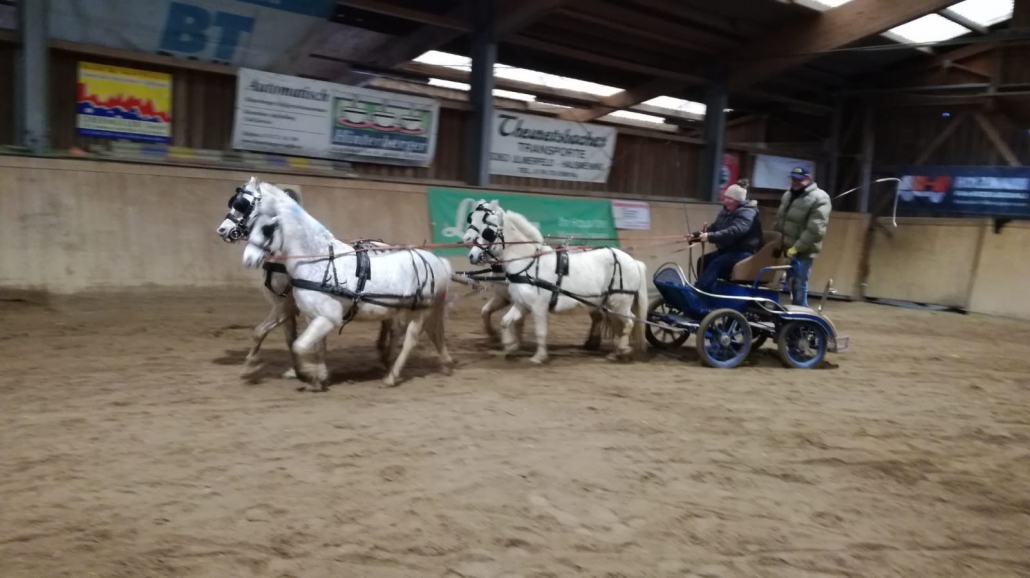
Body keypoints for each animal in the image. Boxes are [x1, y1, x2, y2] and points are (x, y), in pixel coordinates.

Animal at [215, 180, 395, 379]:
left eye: (243, 204)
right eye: (233, 202)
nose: (222, 230)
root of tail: (383, 244)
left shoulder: (288, 305)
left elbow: (260, 331)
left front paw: (250, 365)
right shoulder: (285, 306)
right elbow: (291, 338)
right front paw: (298, 369)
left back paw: (385, 355)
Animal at [241, 178, 455, 389]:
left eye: (267, 229)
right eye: (251, 225)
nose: (248, 259)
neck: (318, 261)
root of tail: (437, 261)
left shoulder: (327, 317)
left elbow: (299, 346)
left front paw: (307, 373)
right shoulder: (312, 316)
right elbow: (314, 347)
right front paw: (318, 377)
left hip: (421, 310)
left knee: (410, 339)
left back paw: (391, 375)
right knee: (426, 332)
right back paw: (442, 363)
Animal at [465, 197, 646, 360]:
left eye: (487, 232)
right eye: (471, 218)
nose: (472, 254)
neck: (529, 263)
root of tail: (633, 261)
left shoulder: (538, 307)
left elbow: (540, 331)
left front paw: (538, 356)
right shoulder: (521, 303)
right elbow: (505, 321)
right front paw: (510, 346)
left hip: (619, 301)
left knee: (629, 322)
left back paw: (621, 349)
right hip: (609, 304)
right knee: (616, 324)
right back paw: (613, 351)